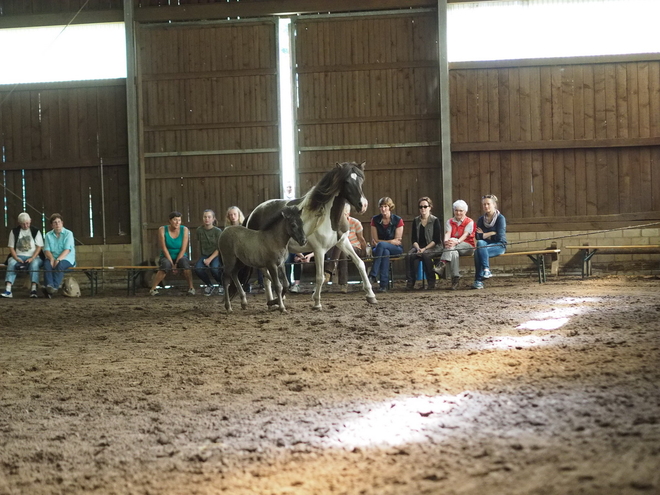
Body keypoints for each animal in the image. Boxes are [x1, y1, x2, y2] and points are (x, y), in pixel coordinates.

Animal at [242, 163, 376, 310]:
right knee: (266, 278)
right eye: (346, 181)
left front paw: (371, 296)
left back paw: (273, 302)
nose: (363, 205)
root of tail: (254, 213)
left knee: (267, 279)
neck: (328, 217)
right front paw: (317, 302)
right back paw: (274, 301)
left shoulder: (342, 242)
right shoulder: (319, 250)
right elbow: (320, 276)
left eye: (361, 180)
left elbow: (360, 263)